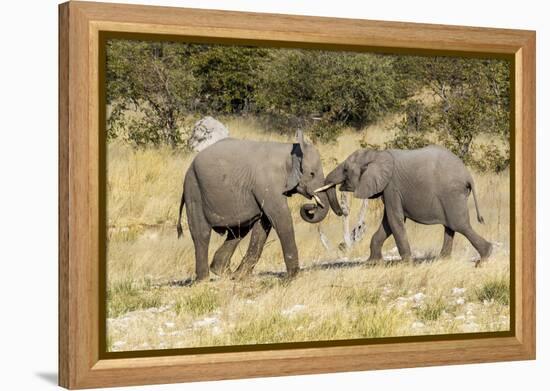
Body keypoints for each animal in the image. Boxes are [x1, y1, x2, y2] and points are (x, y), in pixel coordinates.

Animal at [178, 130, 344, 280]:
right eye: (312, 174)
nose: (310, 206)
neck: (289, 150)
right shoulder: (267, 182)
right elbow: (280, 219)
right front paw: (293, 277)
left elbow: (263, 225)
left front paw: (242, 277)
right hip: (194, 190)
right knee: (202, 234)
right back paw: (203, 280)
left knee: (238, 231)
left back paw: (226, 274)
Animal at [316, 146, 494, 266]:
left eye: (346, 170)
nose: (341, 211)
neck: (377, 154)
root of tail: (468, 175)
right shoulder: (389, 190)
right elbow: (387, 223)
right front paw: (372, 263)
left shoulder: (391, 187)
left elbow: (394, 220)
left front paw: (406, 263)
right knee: (450, 226)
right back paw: (442, 259)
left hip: (451, 194)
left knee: (459, 225)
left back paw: (485, 257)